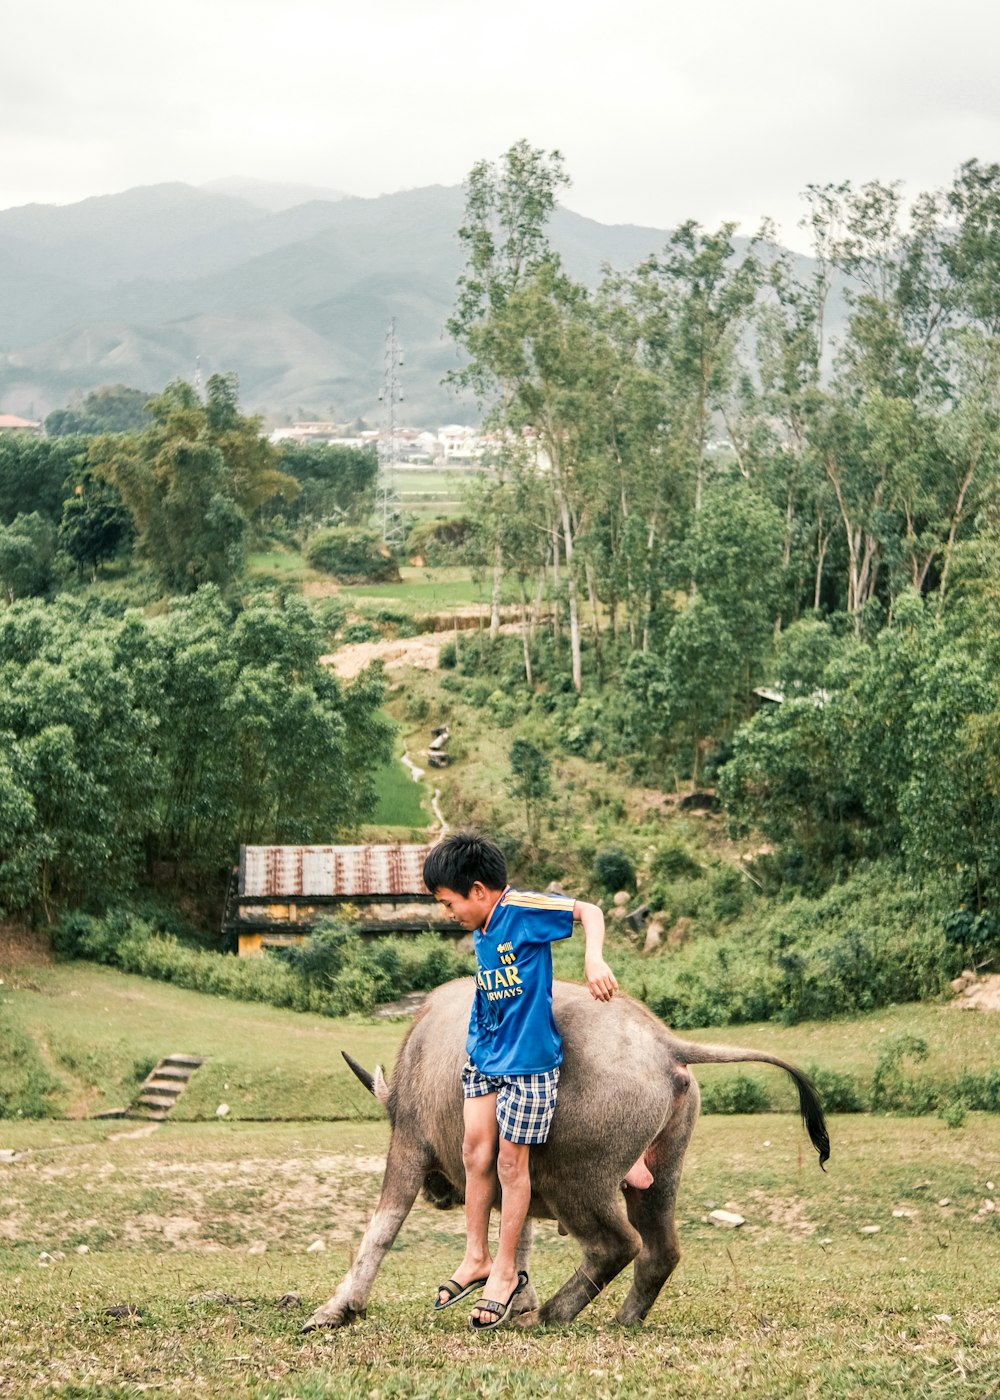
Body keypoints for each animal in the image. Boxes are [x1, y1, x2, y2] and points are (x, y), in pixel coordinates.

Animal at [302, 980, 823, 1327]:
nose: (440, 1195)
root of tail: (664, 1045)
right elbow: (520, 1232)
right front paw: (514, 1293)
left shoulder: (410, 1141)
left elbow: (383, 1228)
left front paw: (338, 1308)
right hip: (660, 1172)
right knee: (660, 1251)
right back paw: (620, 1319)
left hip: (577, 1182)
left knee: (617, 1245)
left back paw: (548, 1316)